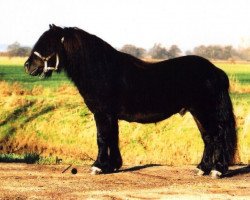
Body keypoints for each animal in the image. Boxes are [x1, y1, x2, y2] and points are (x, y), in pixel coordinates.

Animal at [25, 24, 236, 178]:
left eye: (48, 44)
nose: (28, 66)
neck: (102, 70)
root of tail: (216, 71)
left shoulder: (102, 114)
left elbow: (102, 138)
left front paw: (98, 167)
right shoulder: (110, 115)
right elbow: (112, 137)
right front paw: (112, 166)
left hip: (205, 112)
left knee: (217, 137)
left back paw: (217, 170)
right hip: (198, 113)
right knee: (208, 138)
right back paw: (202, 168)